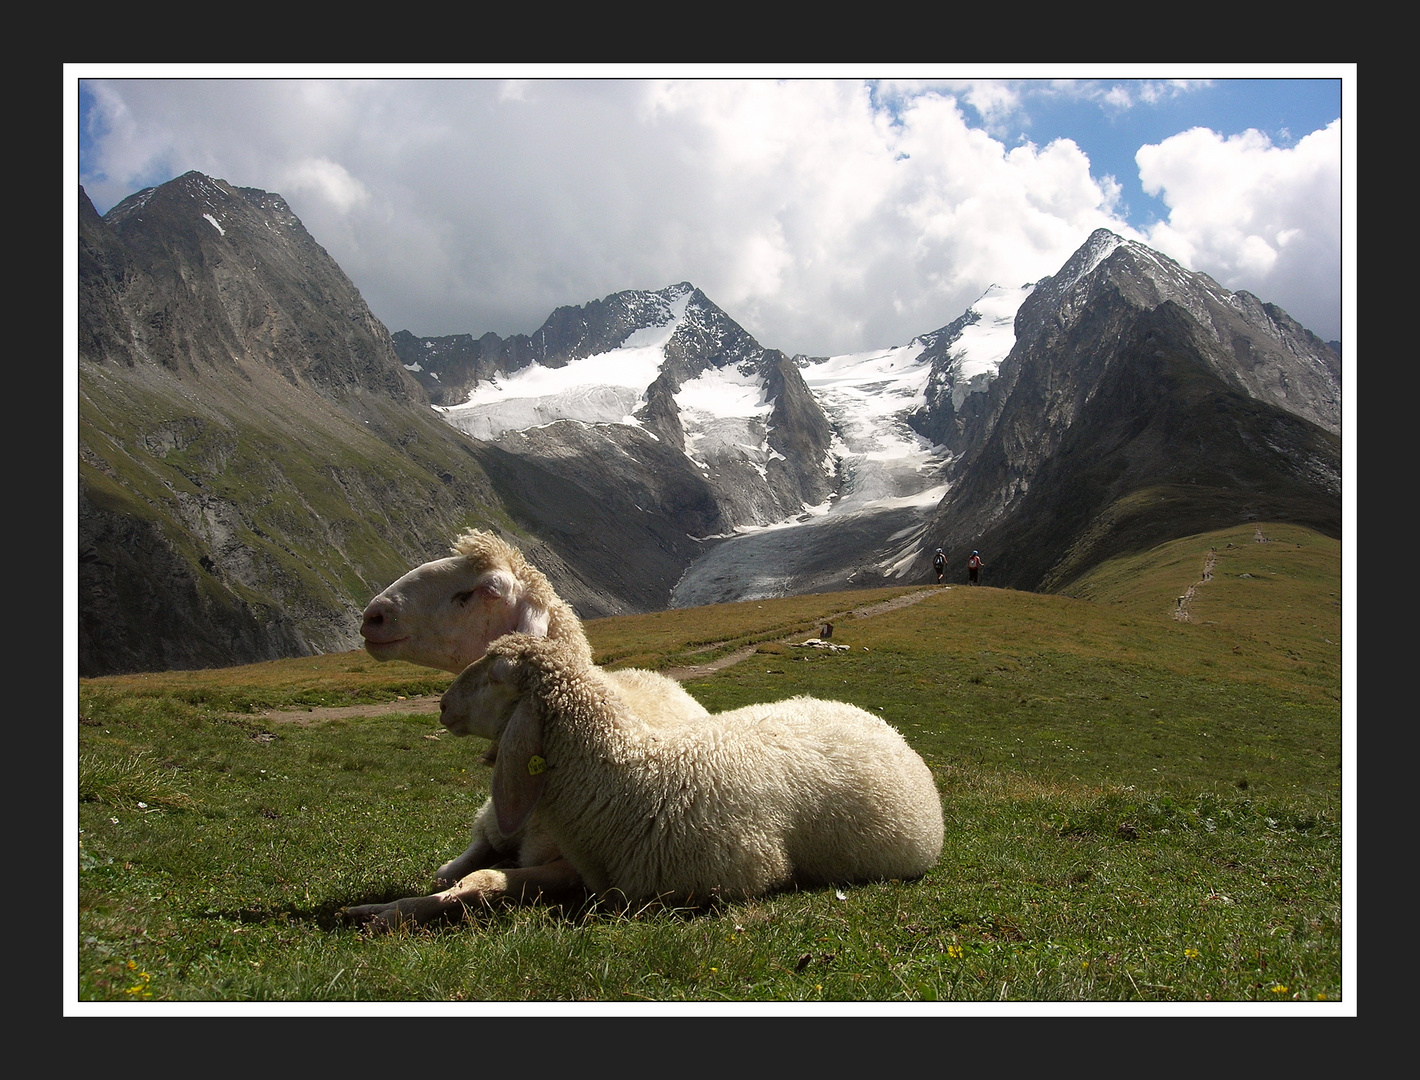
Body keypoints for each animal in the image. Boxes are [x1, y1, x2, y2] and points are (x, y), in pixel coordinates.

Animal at [349, 527, 704, 908]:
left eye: (489, 589)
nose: (374, 615)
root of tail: (652, 675)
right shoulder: (489, 826)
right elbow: (447, 871)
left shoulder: (574, 869)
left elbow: (482, 879)